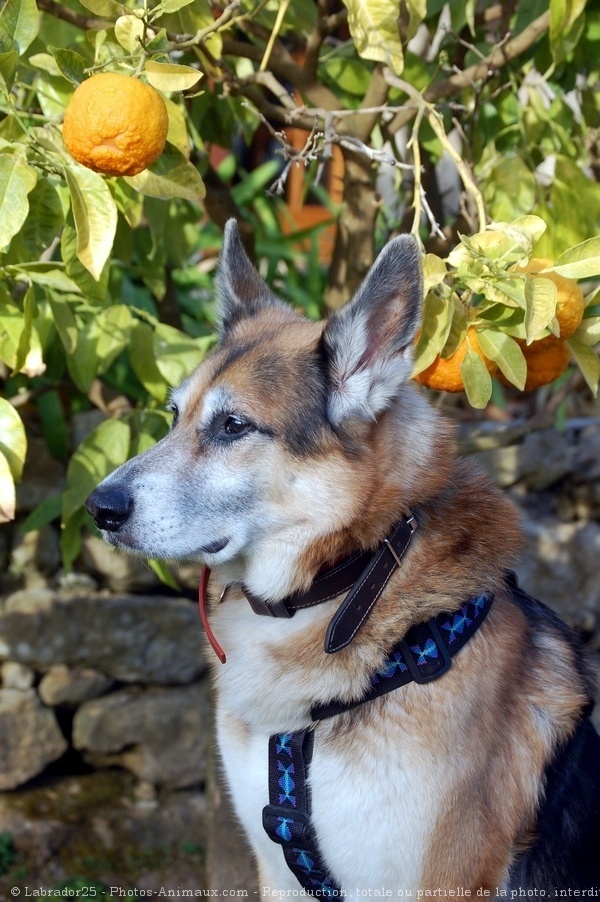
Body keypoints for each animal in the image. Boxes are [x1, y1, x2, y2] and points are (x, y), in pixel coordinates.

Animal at [86, 222, 600, 900]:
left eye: (233, 426)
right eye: (175, 417)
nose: (98, 507)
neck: (347, 579)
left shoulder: (441, 879)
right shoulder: (276, 873)